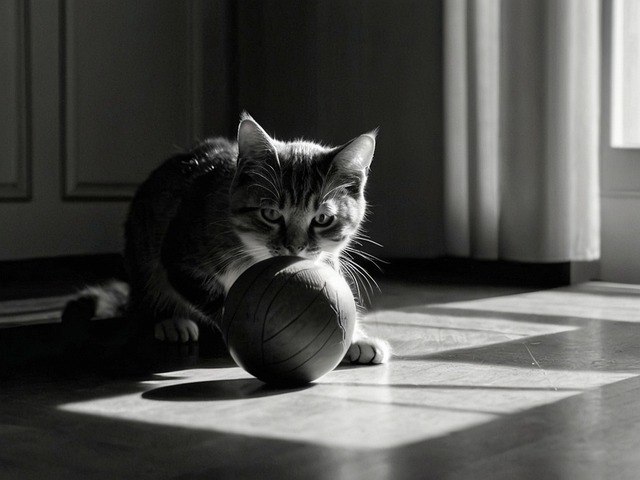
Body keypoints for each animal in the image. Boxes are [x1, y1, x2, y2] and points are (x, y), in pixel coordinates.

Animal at [74, 113, 390, 364]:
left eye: (323, 219)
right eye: (270, 214)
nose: (295, 247)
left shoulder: (325, 257)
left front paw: (357, 338)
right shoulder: (178, 250)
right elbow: (212, 297)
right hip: (143, 240)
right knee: (148, 287)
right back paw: (169, 319)